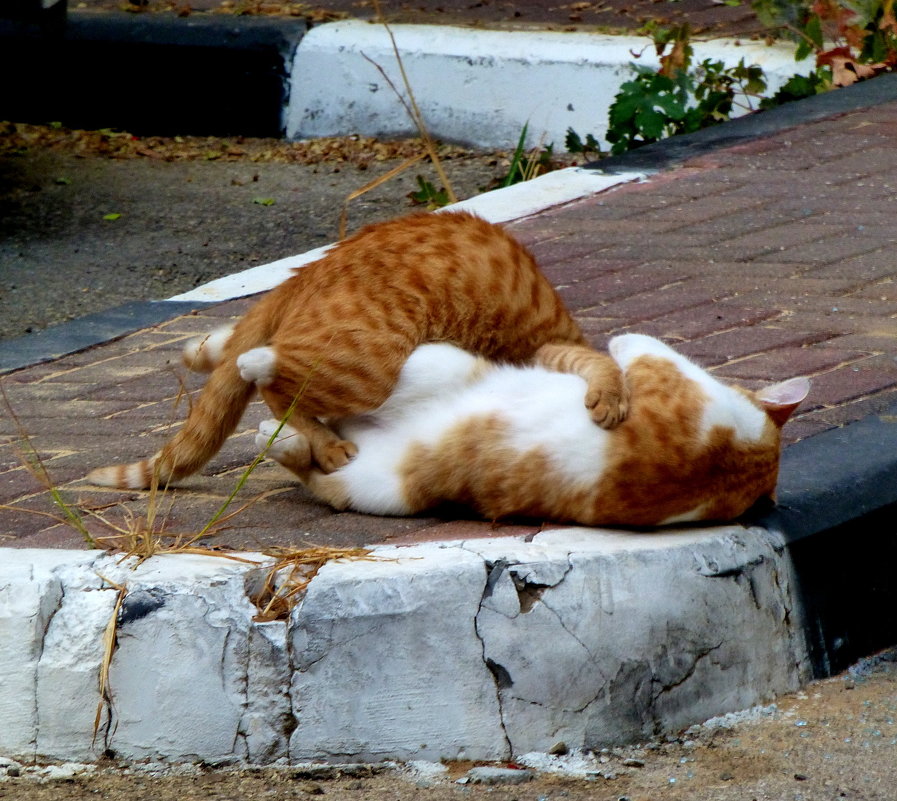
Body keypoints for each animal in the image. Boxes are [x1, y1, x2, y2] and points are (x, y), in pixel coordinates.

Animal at [87, 209, 628, 490]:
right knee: (270, 382)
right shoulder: (552, 346)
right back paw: (325, 443)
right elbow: (606, 364)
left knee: (240, 355)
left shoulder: (549, 350)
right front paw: (612, 400)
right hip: (371, 367)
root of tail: (306, 270)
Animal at [248, 334, 808, 528]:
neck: (738, 462)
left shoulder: (661, 366)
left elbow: (629, 345)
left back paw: (275, 412)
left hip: (384, 471)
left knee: (320, 456)